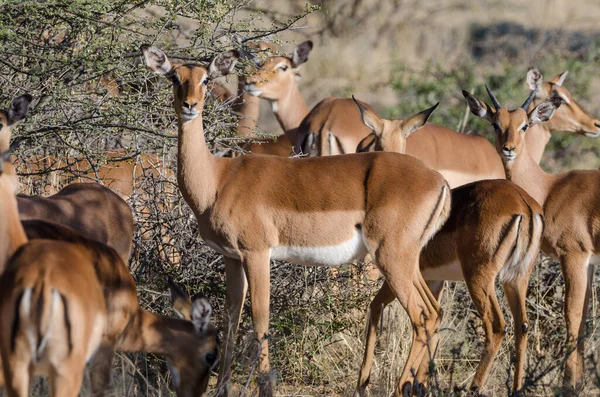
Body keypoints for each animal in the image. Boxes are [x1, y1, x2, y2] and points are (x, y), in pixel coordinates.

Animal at [142, 44, 450, 394]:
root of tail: (438, 181)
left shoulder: (257, 254)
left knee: (421, 315)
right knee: (434, 312)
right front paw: (222, 389)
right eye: (174, 76)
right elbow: (231, 318)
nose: (190, 105)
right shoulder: (232, 258)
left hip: (392, 258)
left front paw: (265, 387)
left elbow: (260, 319)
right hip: (408, 262)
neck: (218, 179)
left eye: (206, 78)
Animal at [352, 98, 544, 392]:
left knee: (496, 326)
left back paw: (473, 388)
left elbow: (376, 309)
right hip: (516, 278)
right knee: (522, 325)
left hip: (479, 278)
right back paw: (515, 389)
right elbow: (435, 321)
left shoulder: (397, 276)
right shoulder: (433, 280)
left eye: (370, 142)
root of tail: (524, 205)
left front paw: (366, 384)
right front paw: (419, 384)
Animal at [464, 85, 600, 392]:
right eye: (496, 123)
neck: (549, 190)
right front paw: (579, 383)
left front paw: (568, 385)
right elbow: (584, 318)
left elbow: (571, 315)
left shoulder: (573, 256)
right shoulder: (588, 262)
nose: (509, 149)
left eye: (524, 125)